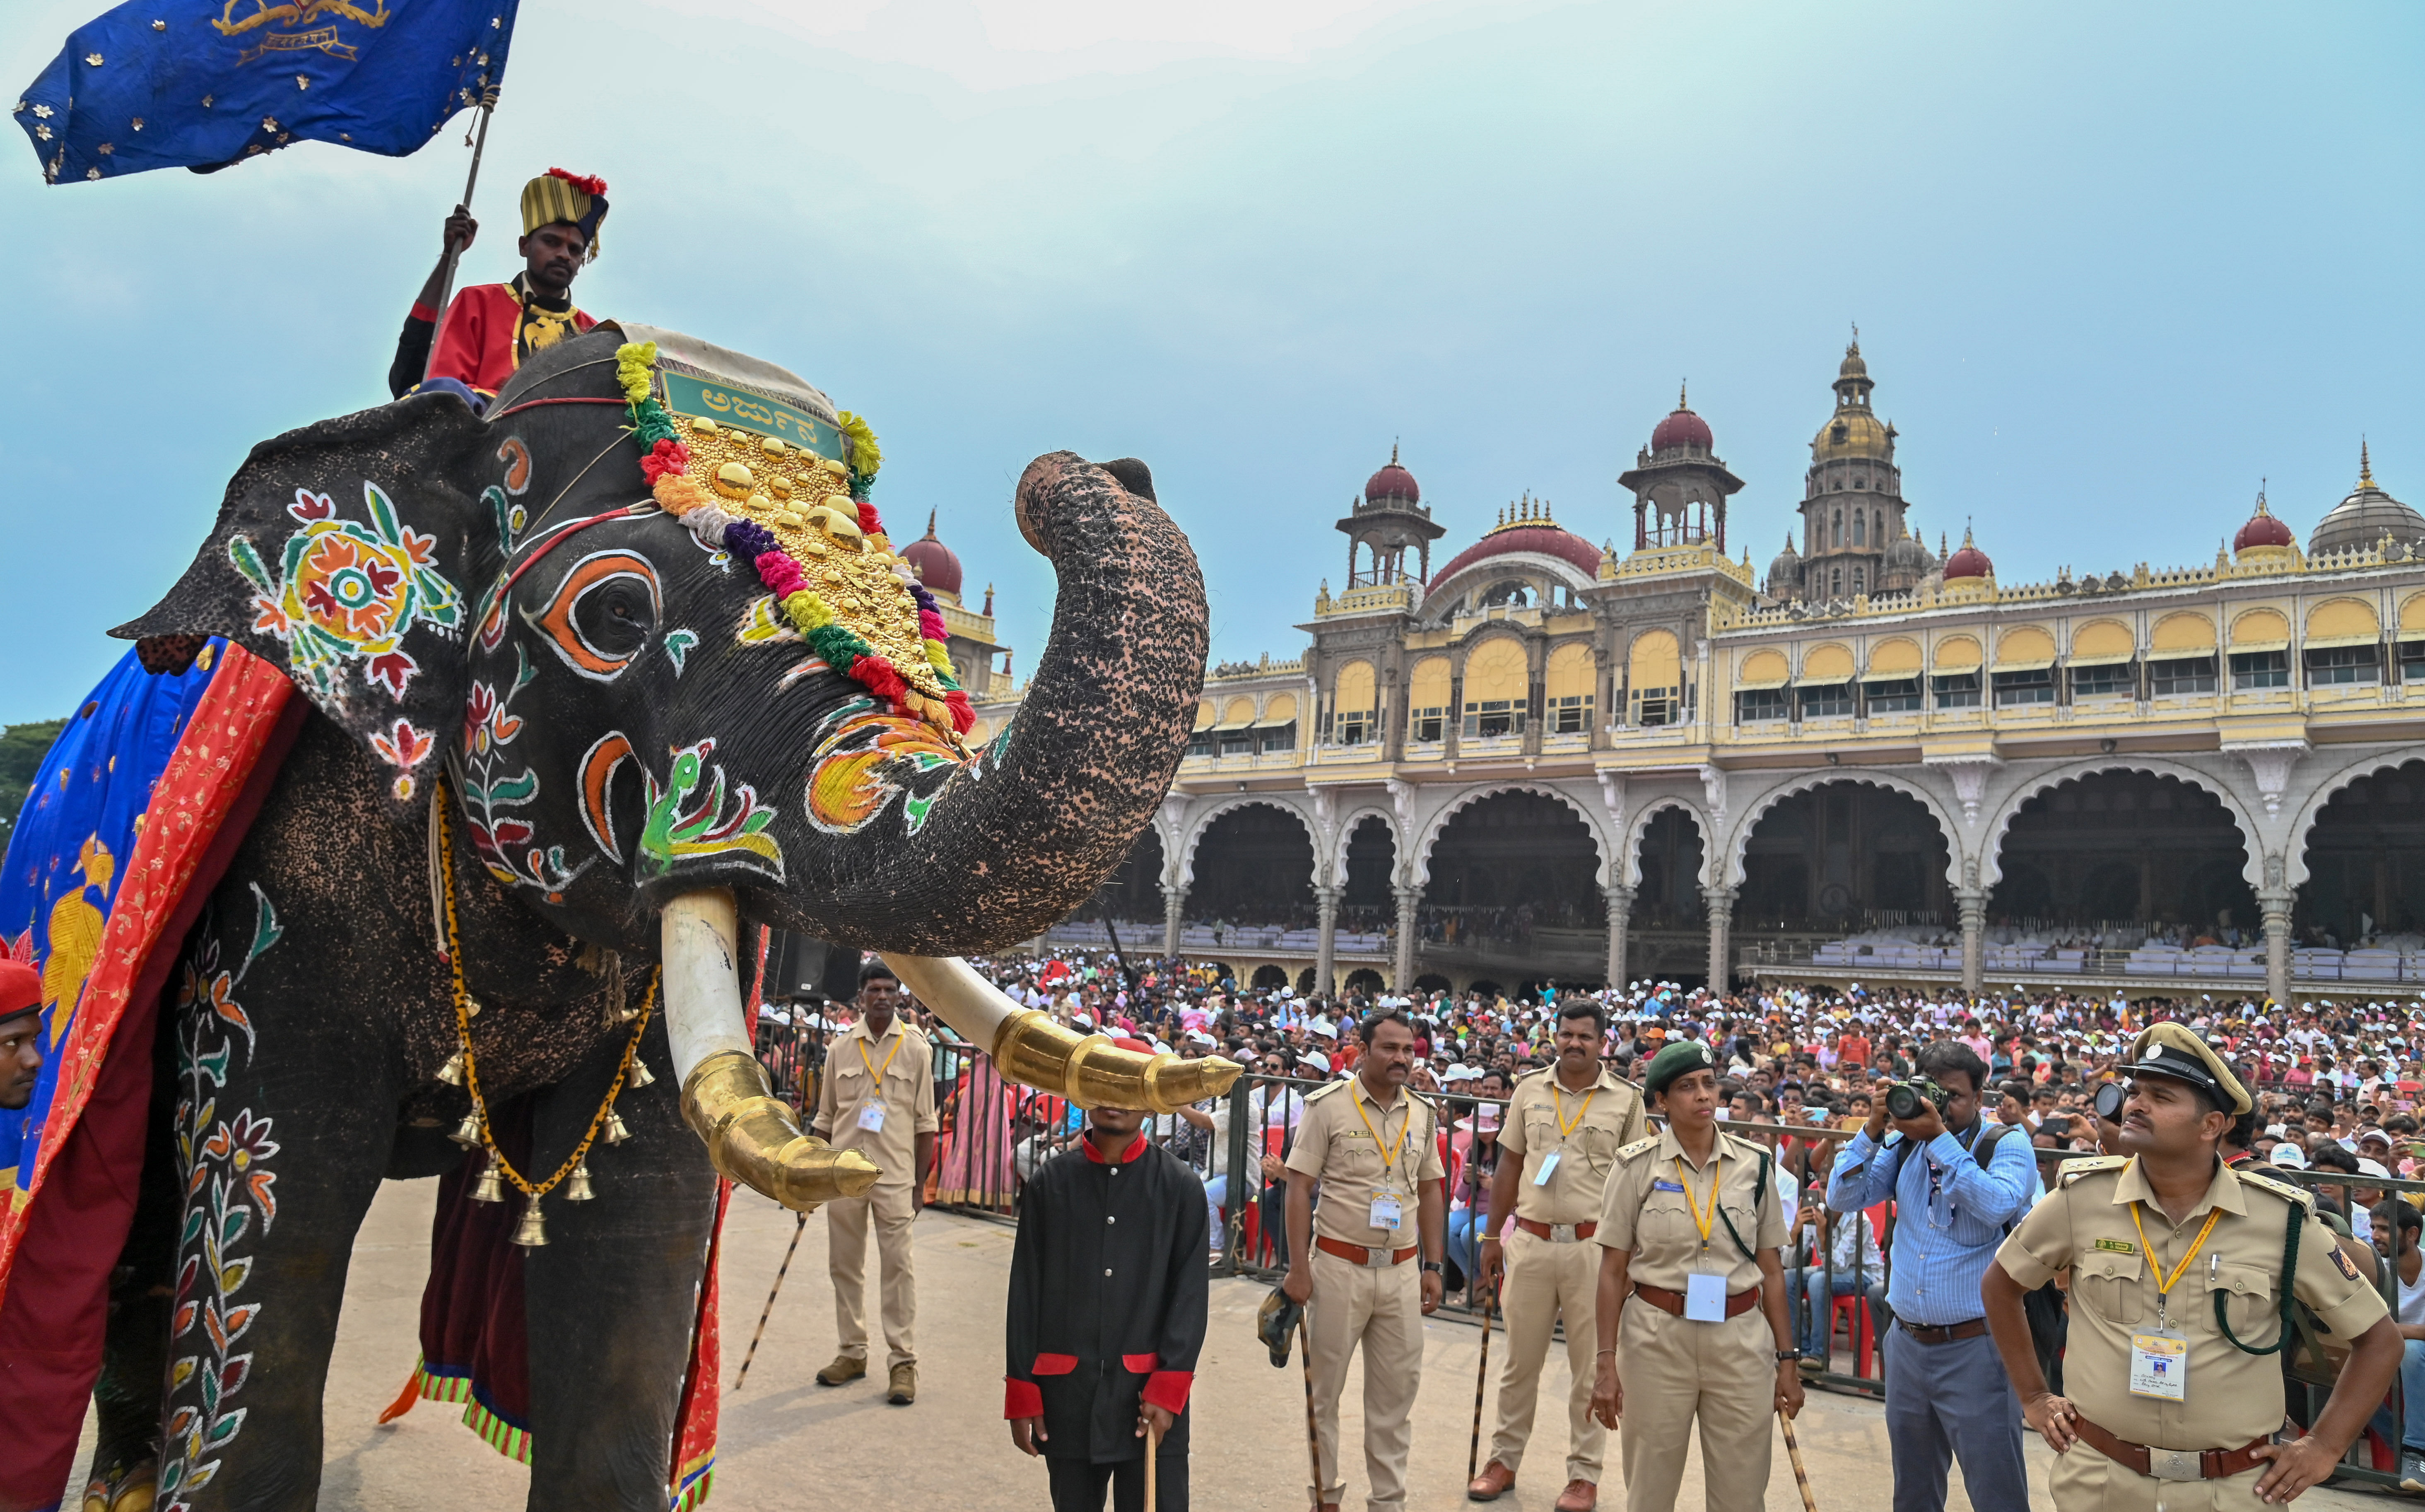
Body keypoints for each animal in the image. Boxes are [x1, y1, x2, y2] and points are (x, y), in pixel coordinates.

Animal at [33, 325, 1212, 1505]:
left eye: (920, 633)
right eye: (611, 616)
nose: (1110, 469)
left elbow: (634, 1243)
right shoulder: (273, 903)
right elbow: (273, 1194)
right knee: (139, 1216)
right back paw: (124, 1480)